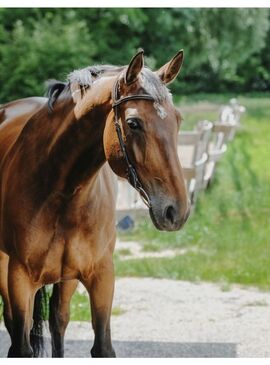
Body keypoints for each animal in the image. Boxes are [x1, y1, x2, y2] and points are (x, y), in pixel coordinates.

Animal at [0, 49, 190, 356]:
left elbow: (102, 346)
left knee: (59, 320)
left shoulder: (102, 276)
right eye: (133, 123)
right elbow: (22, 346)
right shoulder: (19, 278)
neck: (63, 193)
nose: (176, 211)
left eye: (178, 120)